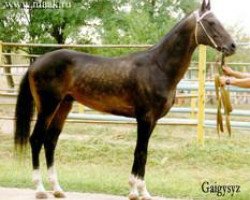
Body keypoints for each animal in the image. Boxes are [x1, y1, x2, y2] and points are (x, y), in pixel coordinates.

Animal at [14, 0, 235, 199]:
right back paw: (40, 189)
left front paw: (141, 191)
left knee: (50, 141)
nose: (232, 46)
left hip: (63, 106)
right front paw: (136, 192)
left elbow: (143, 153)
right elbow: (141, 152)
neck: (158, 67)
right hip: (47, 106)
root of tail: (36, 63)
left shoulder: (152, 120)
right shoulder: (144, 118)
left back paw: (57, 189)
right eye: (211, 22)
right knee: (36, 139)